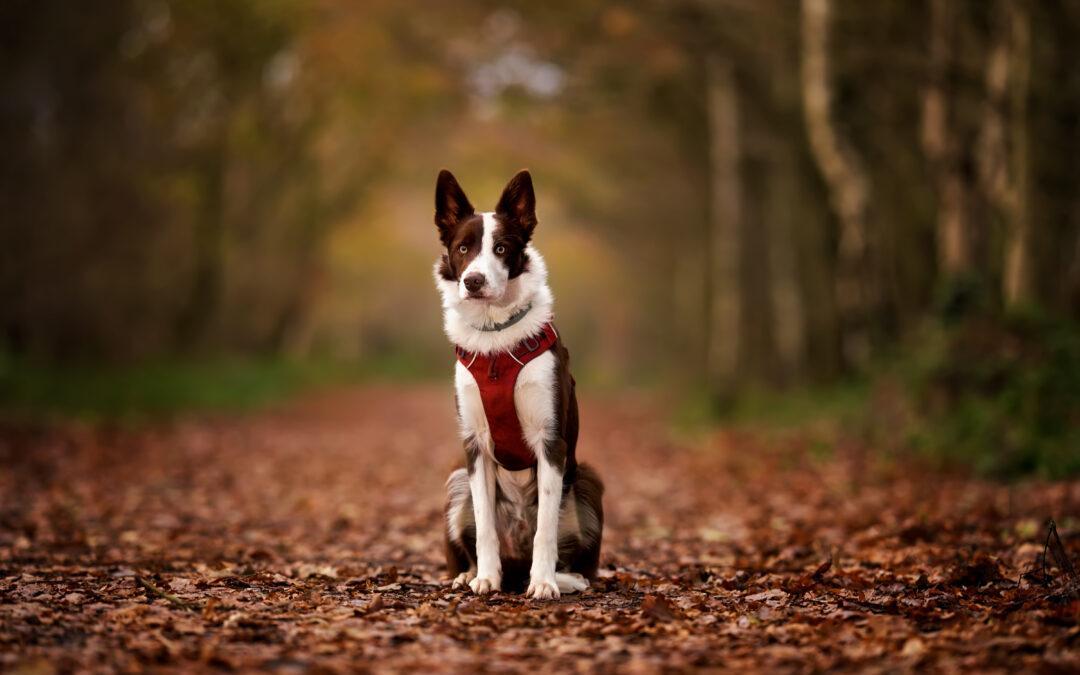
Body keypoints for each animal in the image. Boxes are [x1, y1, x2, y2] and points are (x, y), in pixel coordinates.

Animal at [436, 169, 609, 600]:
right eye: (462, 248)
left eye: (501, 248)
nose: (473, 281)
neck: (496, 342)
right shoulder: (475, 446)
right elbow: (484, 528)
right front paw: (485, 578)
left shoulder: (550, 442)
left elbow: (545, 529)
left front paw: (544, 583)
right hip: (456, 481)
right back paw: (471, 574)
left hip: (587, 482)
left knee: (580, 566)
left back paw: (562, 579)